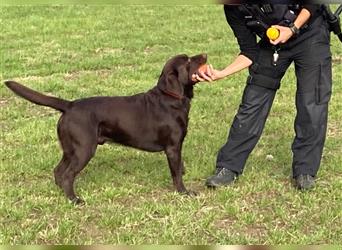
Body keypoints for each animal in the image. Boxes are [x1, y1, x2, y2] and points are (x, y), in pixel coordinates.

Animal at [5, 53, 207, 204]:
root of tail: (69, 105)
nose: (204, 54)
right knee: (68, 174)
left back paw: (63, 194)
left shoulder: (177, 146)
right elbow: (176, 174)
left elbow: (180, 167)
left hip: (70, 150)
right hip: (84, 149)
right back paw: (74, 200)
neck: (171, 98)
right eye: (188, 61)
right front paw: (184, 192)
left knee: (58, 171)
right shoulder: (172, 147)